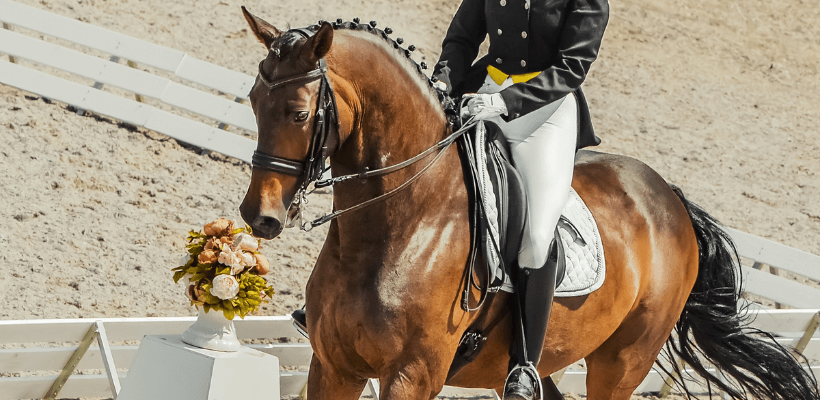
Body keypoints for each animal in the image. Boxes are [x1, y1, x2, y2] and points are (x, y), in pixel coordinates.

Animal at [239, 9, 820, 400]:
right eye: (252, 100)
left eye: (297, 113)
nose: (257, 216)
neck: (399, 227)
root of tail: (670, 198)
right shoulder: (332, 366)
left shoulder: (411, 376)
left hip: (621, 362)